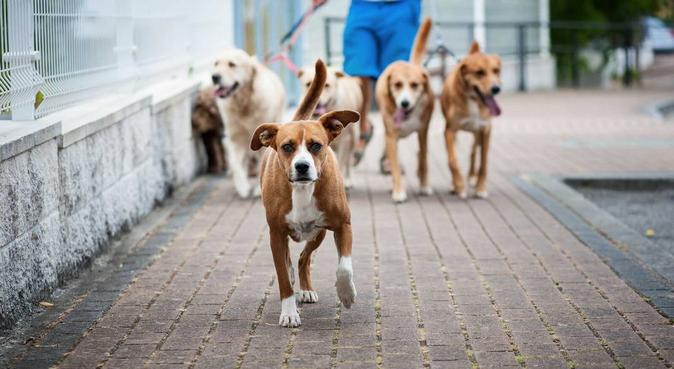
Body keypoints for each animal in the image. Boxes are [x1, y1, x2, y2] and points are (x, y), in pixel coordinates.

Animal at [211, 49, 282, 198]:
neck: (244, 104)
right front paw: (242, 187)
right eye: (216, 63)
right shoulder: (235, 138)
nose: (214, 77)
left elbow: (261, 162)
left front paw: (258, 190)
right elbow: (235, 163)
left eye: (232, 64)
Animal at [249, 59, 360, 326]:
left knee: (304, 257)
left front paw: (346, 293)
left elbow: (344, 267)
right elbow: (282, 278)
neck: (302, 189)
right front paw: (289, 312)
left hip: (318, 233)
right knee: (291, 261)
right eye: (287, 147)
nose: (301, 166)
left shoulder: (343, 225)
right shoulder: (276, 234)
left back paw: (307, 288)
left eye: (316, 146)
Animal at [370, 18, 434, 201]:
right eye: (397, 85)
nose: (404, 103)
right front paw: (398, 191)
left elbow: (424, 161)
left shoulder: (423, 133)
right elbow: (396, 168)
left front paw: (424, 186)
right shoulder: (391, 136)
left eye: (414, 85)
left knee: (421, 156)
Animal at [440, 40, 498, 198]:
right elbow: (452, 161)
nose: (496, 88)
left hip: (477, 134)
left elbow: (483, 163)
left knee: (473, 151)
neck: (473, 99)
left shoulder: (485, 130)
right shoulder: (449, 132)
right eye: (479, 72)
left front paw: (481, 188)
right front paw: (459, 186)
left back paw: (472, 176)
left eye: (496, 71)